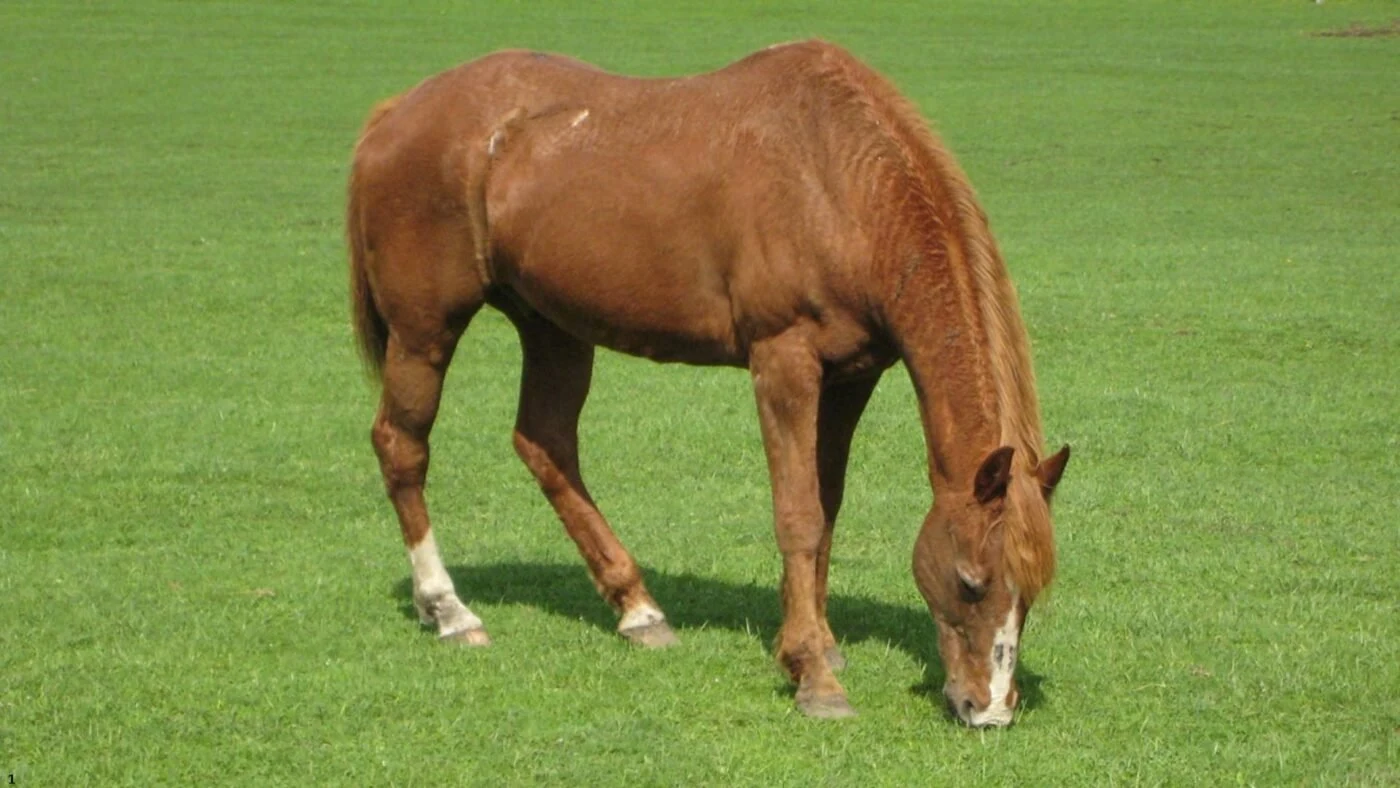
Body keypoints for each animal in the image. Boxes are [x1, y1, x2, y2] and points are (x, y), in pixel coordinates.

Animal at [346, 40, 1070, 725]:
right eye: (971, 581)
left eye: (1031, 591)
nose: (988, 709)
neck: (835, 178)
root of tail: (394, 113)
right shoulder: (783, 362)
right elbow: (798, 514)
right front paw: (812, 674)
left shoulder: (850, 378)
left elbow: (827, 504)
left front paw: (820, 638)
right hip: (424, 332)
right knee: (402, 447)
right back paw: (448, 610)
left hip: (552, 327)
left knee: (544, 444)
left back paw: (637, 609)